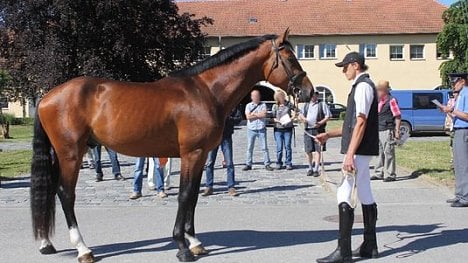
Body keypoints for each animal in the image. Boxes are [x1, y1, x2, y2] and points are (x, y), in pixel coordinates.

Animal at [31, 28, 312, 262]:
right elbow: (185, 195)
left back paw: (46, 243)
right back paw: (83, 249)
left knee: (49, 190)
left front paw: (195, 242)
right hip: (71, 154)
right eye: (290, 58)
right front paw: (182, 246)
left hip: (60, 154)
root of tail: (47, 97)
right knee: (65, 194)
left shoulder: (201, 155)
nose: (309, 92)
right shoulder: (192, 153)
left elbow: (194, 196)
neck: (205, 92)